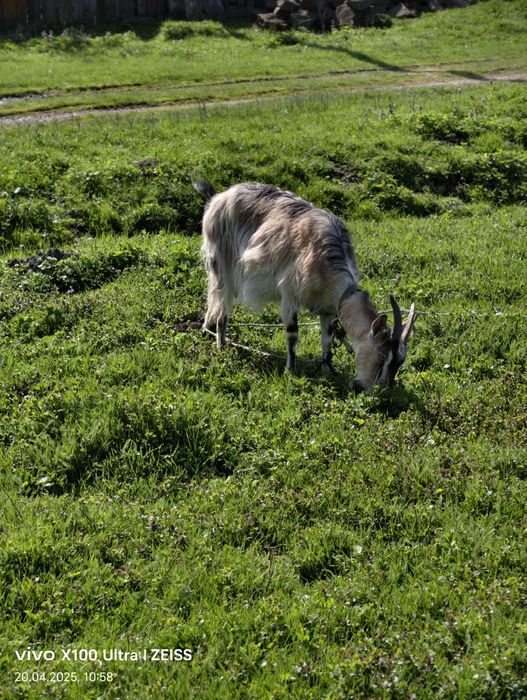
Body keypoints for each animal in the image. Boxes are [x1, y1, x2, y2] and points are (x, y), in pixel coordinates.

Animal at [194, 180, 416, 393]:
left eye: (400, 361)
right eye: (382, 355)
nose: (381, 390)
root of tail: (217, 198)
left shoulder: (327, 309)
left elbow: (327, 339)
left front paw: (327, 369)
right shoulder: (289, 295)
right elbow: (293, 335)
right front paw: (290, 371)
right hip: (222, 265)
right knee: (221, 305)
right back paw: (221, 345)